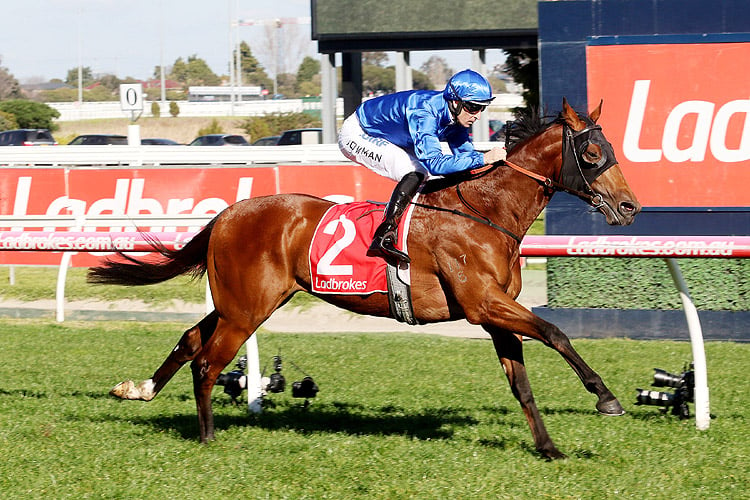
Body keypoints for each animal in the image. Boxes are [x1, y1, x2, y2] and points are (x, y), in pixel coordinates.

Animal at [88, 98, 640, 460]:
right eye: (592, 155)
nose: (630, 206)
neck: (485, 212)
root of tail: (226, 214)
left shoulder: (493, 314)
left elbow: (521, 384)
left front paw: (548, 447)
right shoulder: (483, 303)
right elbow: (555, 331)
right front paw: (605, 397)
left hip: (243, 302)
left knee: (190, 339)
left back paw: (138, 389)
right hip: (246, 309)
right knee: (207, 362)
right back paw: (207, 437)